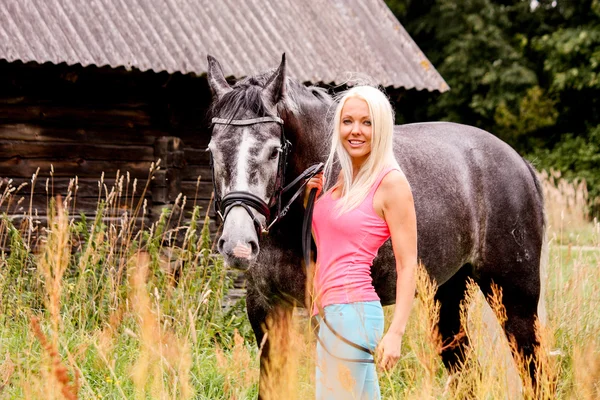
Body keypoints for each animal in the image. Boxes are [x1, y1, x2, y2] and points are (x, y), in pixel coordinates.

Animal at [206, 54, 548, 396]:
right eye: (212, 149)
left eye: (273, 151)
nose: (237, 245)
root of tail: (520, 163)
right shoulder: (265, 309)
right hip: (448, 293)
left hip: (514, 297)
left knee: (536, 371)